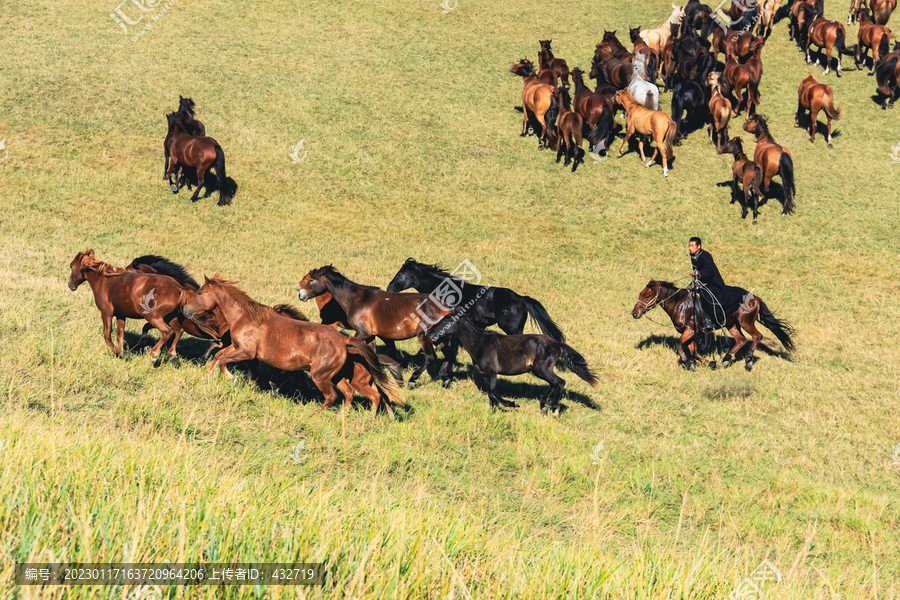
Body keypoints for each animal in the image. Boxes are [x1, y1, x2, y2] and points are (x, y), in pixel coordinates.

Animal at [183, 276, 400, 418]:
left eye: (200, 292)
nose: (185, 310)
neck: (247, 318)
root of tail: (344, 341)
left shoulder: (247, 352)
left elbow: (224, 360)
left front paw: (231, 378)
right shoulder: (237, 347)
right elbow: (219, 355)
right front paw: (208, 374)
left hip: (320, 375)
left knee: (334, 396)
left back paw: (316, 414)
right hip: (335, 375)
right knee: (348, 393)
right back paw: (343, 416)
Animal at [298, 264, 458, 386]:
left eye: (311, 280)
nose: (300, 293)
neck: (356, 299)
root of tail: (446, 307)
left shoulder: (362, 333)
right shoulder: (371, 335)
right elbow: (372, 353)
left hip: (424, 336)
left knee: (431, 357)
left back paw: (413, 380)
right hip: (438, 338)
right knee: (448, 354)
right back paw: (445, 379)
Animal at [428, 312, 596, 414]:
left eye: (446, 320)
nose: (429, 332)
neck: (480, 343)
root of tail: (557, 344)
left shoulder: (492, 372)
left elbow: (492, 392)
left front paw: (513, 404)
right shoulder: (486, 374)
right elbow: (491, 394)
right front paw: (492, 410)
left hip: (543, 369)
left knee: (560, 382)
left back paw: (554, 409)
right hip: (538, 371)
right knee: (554, 384)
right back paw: (543, 406)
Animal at [632, 280, 796, 370]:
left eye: (647, 295)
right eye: (640, 294)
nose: (635, 313)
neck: (680, 304)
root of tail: (755, 298)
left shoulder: (689, 331)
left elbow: (680, 345)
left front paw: (687, 362)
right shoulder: (690, 333)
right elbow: (694, 352)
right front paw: (710, 363)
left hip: (746, 322)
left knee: (757, 336)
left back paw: (748, 359)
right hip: (732, 324)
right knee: (741, 340)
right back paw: (725, 360)